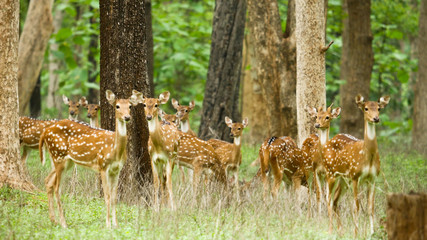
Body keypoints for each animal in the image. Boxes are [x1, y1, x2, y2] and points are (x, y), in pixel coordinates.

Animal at [38, 89, 139, 227]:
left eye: (130, 106)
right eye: (117, 106)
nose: (127, 117)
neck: (114, 150)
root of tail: (45, 132)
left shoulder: (116, 169)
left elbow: (114, 197)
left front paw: (116, 225)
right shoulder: (103, 166)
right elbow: (107, 196)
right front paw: (108, 225)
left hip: (65, 161)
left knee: (48, 181)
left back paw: (54, 220)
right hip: (58, 155)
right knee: (57, 188)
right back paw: (64, 224)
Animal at [324, 94, 392, 235]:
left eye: (379, 108)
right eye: (366, 108)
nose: (376, 118)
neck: (367, 156)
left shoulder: (373, 178)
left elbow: (370, 207)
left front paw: (371, 233)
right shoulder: (355, 176)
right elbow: (356, 206)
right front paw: (357, 233)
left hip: (343, 179)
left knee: (335, 200)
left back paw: (341, 231)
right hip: (330, 172)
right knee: (328, 199)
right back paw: (331, 230)